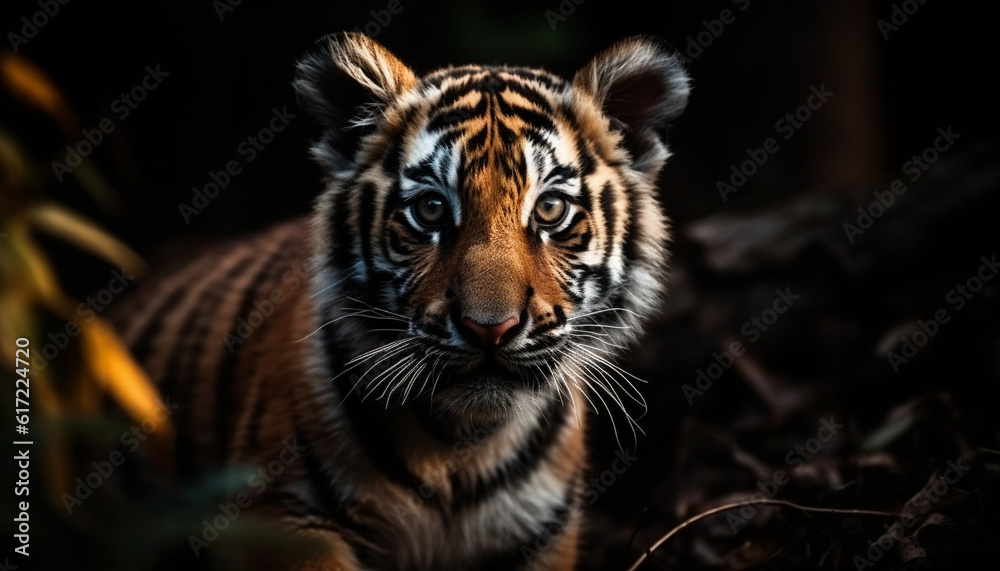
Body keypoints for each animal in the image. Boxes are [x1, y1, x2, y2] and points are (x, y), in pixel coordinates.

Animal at [109, 32, 688, 571]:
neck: (465, 446)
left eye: (549, 209)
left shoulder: (539, 535)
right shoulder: (287, 515)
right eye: (430, 209)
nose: (490, 329)